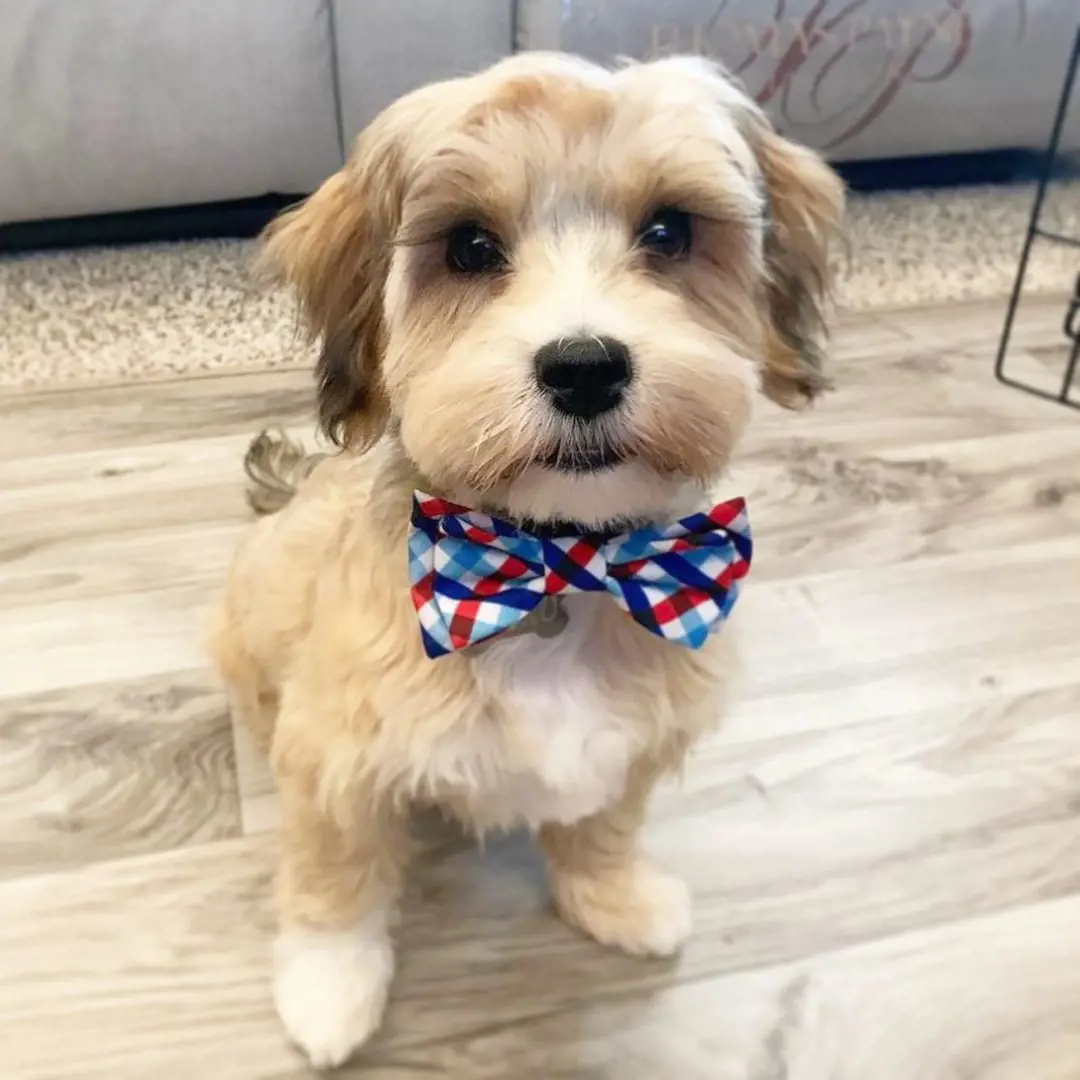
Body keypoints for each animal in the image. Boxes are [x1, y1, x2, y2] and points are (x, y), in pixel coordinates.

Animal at [206, 52, 838, 1071]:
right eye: (468, 246)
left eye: (669, 230)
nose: (584, 367)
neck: (556, 562)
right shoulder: (336, 756)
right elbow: (337, 875)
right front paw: (330, 991)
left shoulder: (637, 738)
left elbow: (604, 826)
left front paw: (613, 899)